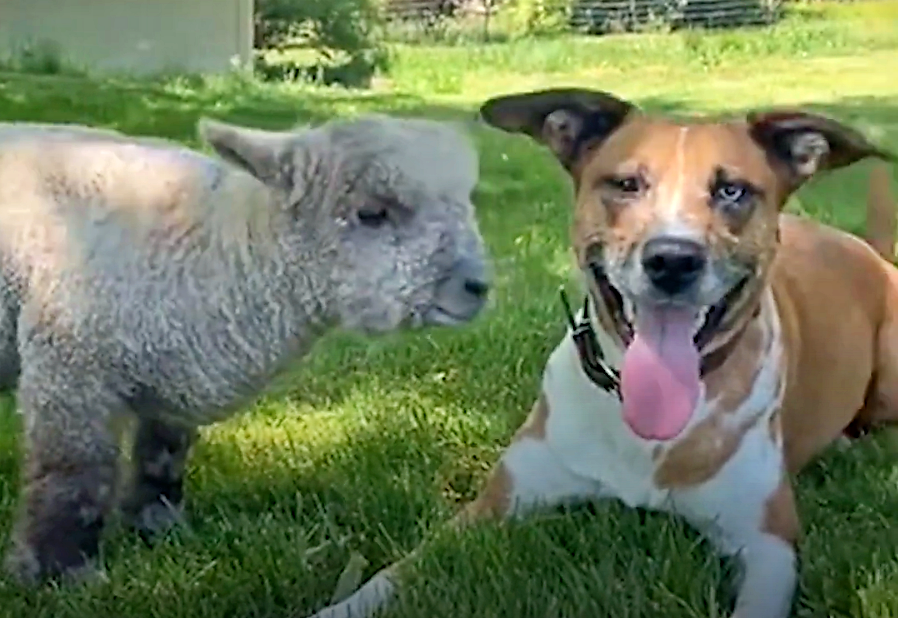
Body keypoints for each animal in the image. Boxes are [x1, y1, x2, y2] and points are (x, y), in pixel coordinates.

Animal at [0, 114, 490, 584]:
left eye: (467, 202)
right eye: (371, 213)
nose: (479, 285)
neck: (217, 249)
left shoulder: (170, 368)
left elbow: (163, 459)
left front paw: (160, 529)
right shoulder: (70, 368)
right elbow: (73, 476)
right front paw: (61, 571)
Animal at [304, 88, 892, 616]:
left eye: (732, 191)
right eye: (626, 184)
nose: (672, 260)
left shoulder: (769, 543)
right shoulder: (491, 507)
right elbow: (390, 576)